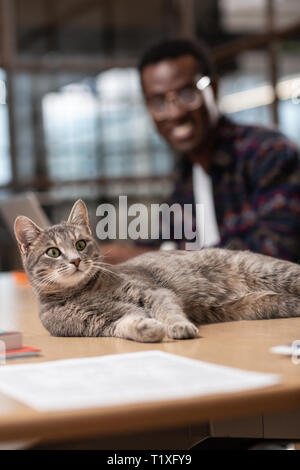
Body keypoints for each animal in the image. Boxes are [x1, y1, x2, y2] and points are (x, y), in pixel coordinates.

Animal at [13, 200, 300, 344]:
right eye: (53, 252)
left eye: (80, 245)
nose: (75, 261)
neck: (83, 292)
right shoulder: (94, 324)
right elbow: (125, 325)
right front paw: (146, 328)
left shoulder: (152, 292)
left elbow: (168, 310)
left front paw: (178, 326)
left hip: (274, 272)